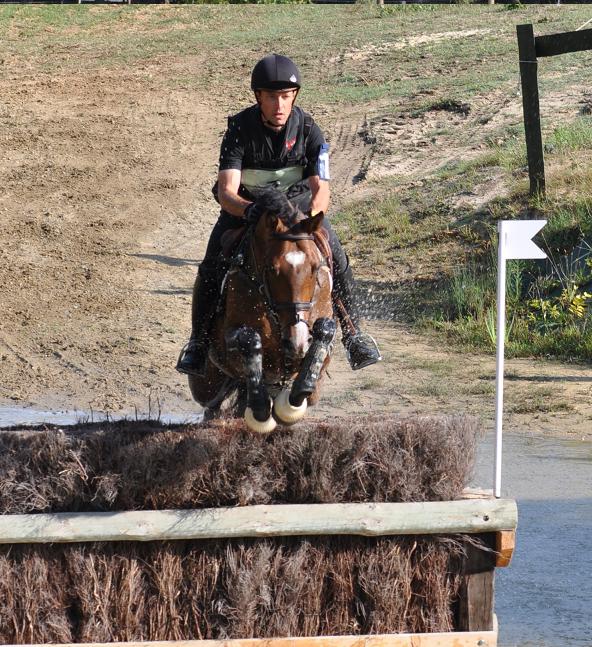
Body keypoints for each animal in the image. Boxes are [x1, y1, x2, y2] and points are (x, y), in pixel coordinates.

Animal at [190, 190, 338, 432]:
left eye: (315, 268)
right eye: (272, 269)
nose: (296, 341)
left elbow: (325, 331)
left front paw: (297, 394)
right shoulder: (228, 343)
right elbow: (250, 339)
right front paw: (260, 409)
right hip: (206, 382)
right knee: (213, 399)